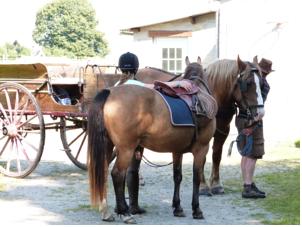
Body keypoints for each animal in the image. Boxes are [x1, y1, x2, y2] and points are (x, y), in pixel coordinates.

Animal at [87, 58, 217, 223]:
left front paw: (178, 207)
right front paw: (196, 209)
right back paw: (125, 212)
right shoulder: (201, 149)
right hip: (125, 149)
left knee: (103, 172)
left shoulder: (177, 151)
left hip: (108, 145)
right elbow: (196, 177)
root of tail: (110, 93)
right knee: (117, 174)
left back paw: (107, 212)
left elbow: (177, 176)